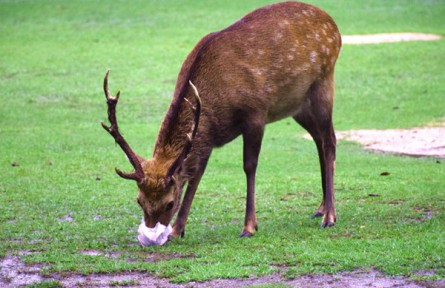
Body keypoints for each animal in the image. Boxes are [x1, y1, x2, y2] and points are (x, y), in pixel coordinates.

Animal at [102, 1, 342, 240]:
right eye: (139, 200)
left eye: (169, 203)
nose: (150, 237)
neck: (216, 113)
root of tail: (333, 25)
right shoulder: (206, 138)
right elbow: (196, 175)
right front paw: (178, 230)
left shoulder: (255, 114)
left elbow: (249, 166)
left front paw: (249, 226)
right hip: (297, 105)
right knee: (318, 139)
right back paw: (321, 207)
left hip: (324, 82)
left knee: (330, 140)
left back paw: (329, 216)